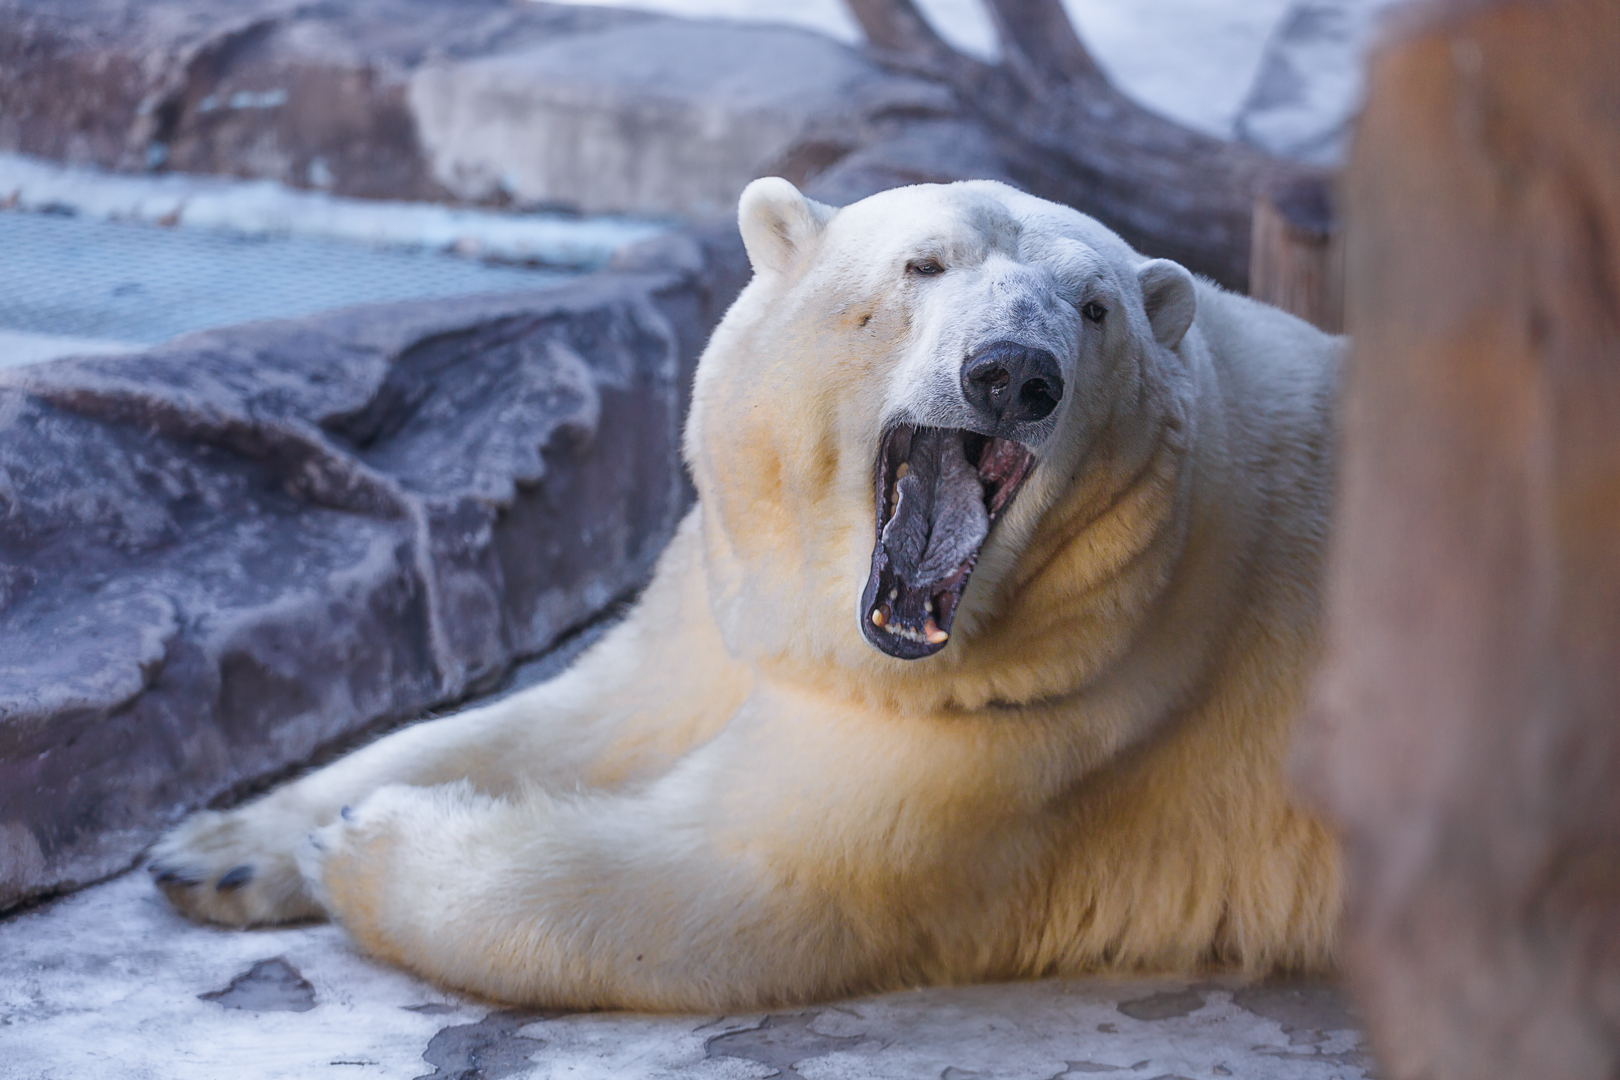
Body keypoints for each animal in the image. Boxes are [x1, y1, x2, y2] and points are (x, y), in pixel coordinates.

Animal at [150, 177, 1345, 1010]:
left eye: (1095, 309)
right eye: (923, 264)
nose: (1012, 371)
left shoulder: (1042, 712)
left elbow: (743, 879)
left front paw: (363, 841)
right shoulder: (725, 595)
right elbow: (585, 714)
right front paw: (218, 848)